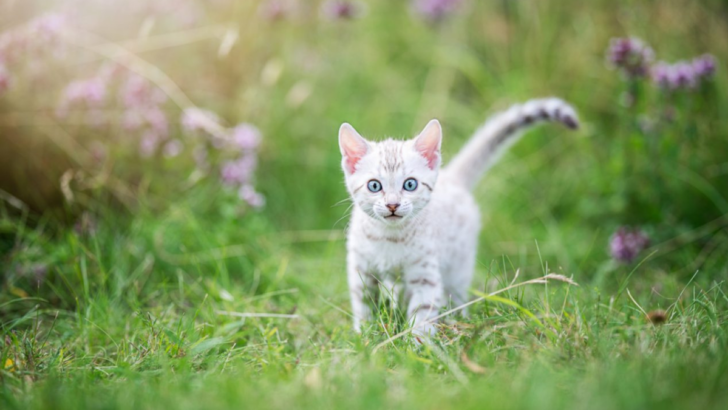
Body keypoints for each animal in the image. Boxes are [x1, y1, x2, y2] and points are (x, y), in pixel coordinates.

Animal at [340, 97, 580, 338]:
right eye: (374, 186)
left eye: (410, 184)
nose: (392, 204)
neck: (389, 237)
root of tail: (452, 177)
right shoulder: (361, 269)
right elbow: (364, 304)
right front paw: (365, 335)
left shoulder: (425, 274)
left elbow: (423, 309)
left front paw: (419, 341)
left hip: (459, 267)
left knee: (454, 294)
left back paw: (457, 319)